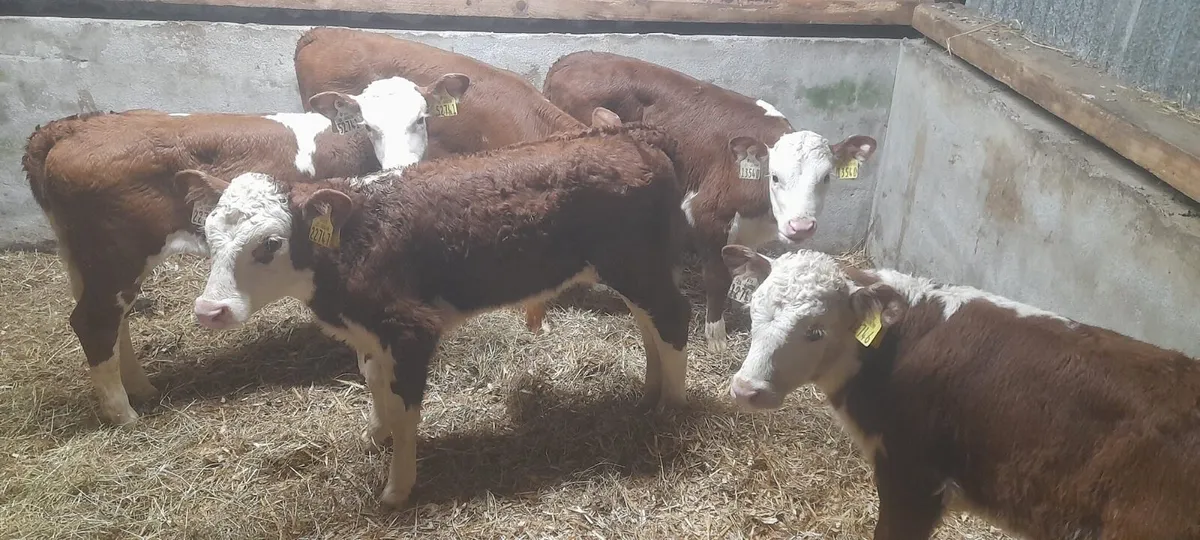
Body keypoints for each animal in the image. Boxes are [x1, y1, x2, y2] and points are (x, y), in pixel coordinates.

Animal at [22, 74, 466, 427]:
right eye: (369, 126)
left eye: (421, 119)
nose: (400, 164)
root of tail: (71, 129)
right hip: (117, 254)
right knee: (93, 323)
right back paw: (125, 416)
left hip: (89, 261)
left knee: (116, 322)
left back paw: (141, 390)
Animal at [188, 120, 693, 509]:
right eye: (208, 233)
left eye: (270, 243)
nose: (210, 310)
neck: (355, 240)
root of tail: (631, 134)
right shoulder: (371, 332)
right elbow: (374, 383)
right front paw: (375, 435)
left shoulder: (412, 329)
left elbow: (404, 410)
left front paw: (397, 489)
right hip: (632, 268)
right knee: (649, 324)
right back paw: (649, 394)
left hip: (635, 265)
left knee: (673, 317)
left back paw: (671, 406)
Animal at [543, 51, 878, 353]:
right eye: (775, 177)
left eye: (826, 178)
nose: (801, 227)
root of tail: (568, 60)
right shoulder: (707, 214)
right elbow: (717, 278)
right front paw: (715, 334)